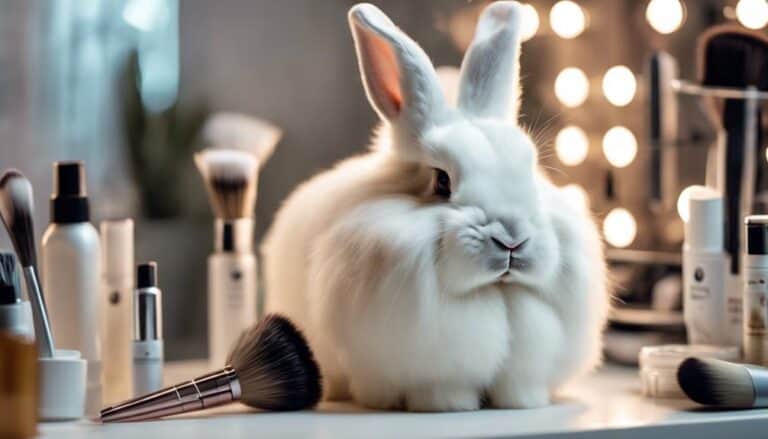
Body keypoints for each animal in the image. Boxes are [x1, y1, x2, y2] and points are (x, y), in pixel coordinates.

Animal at [262, 1, 609, 411]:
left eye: (530, 168)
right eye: (442, 181)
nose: (512, 239)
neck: (494, 293)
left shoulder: (525, 373)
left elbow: (521, 389)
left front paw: (525, 405)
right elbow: (443, 391)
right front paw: (451, 406)